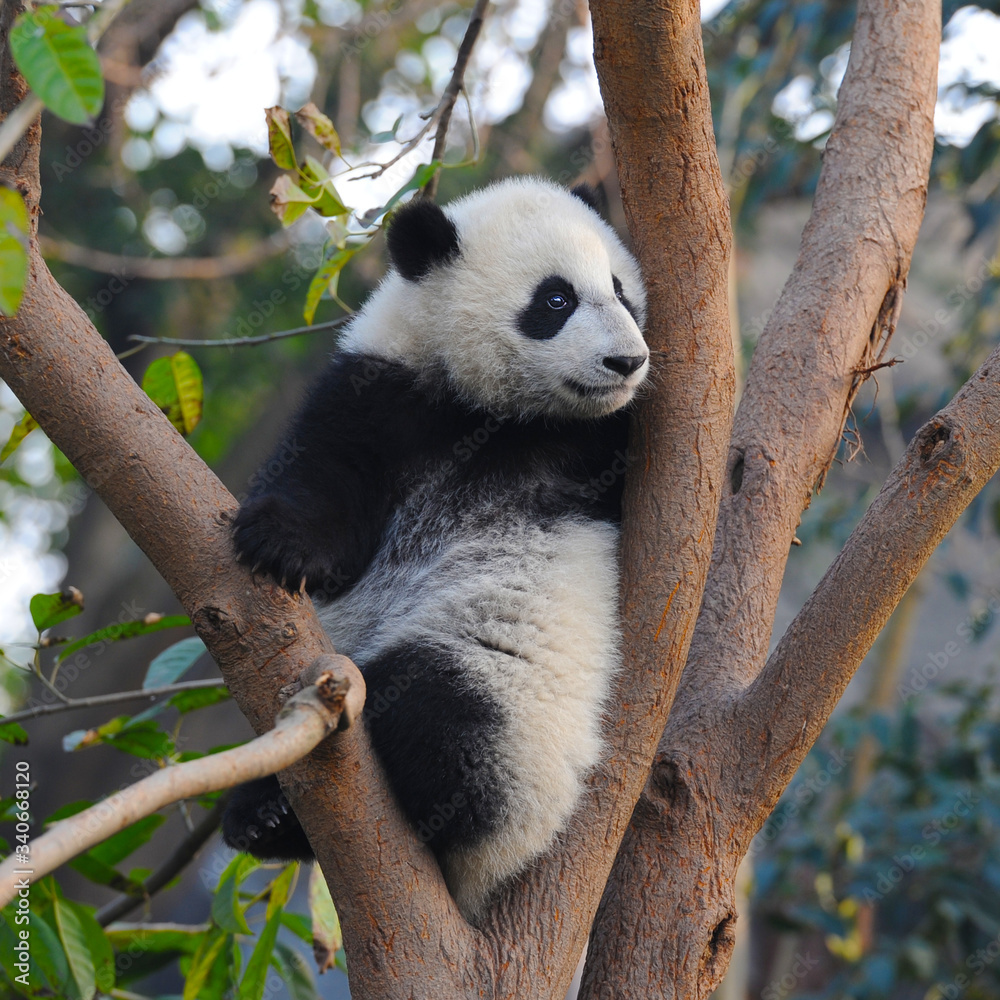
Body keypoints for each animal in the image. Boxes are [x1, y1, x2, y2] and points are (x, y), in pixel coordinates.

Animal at [221, 176, 649, 920]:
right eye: (556, 300)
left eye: (622, 291)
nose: (627, 361)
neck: (494, 415)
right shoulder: (384, 391)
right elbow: (326, 473)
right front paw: (279, 545)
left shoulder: (603, 447)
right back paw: (257, 815)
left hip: (516, 710)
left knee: (443, 713)